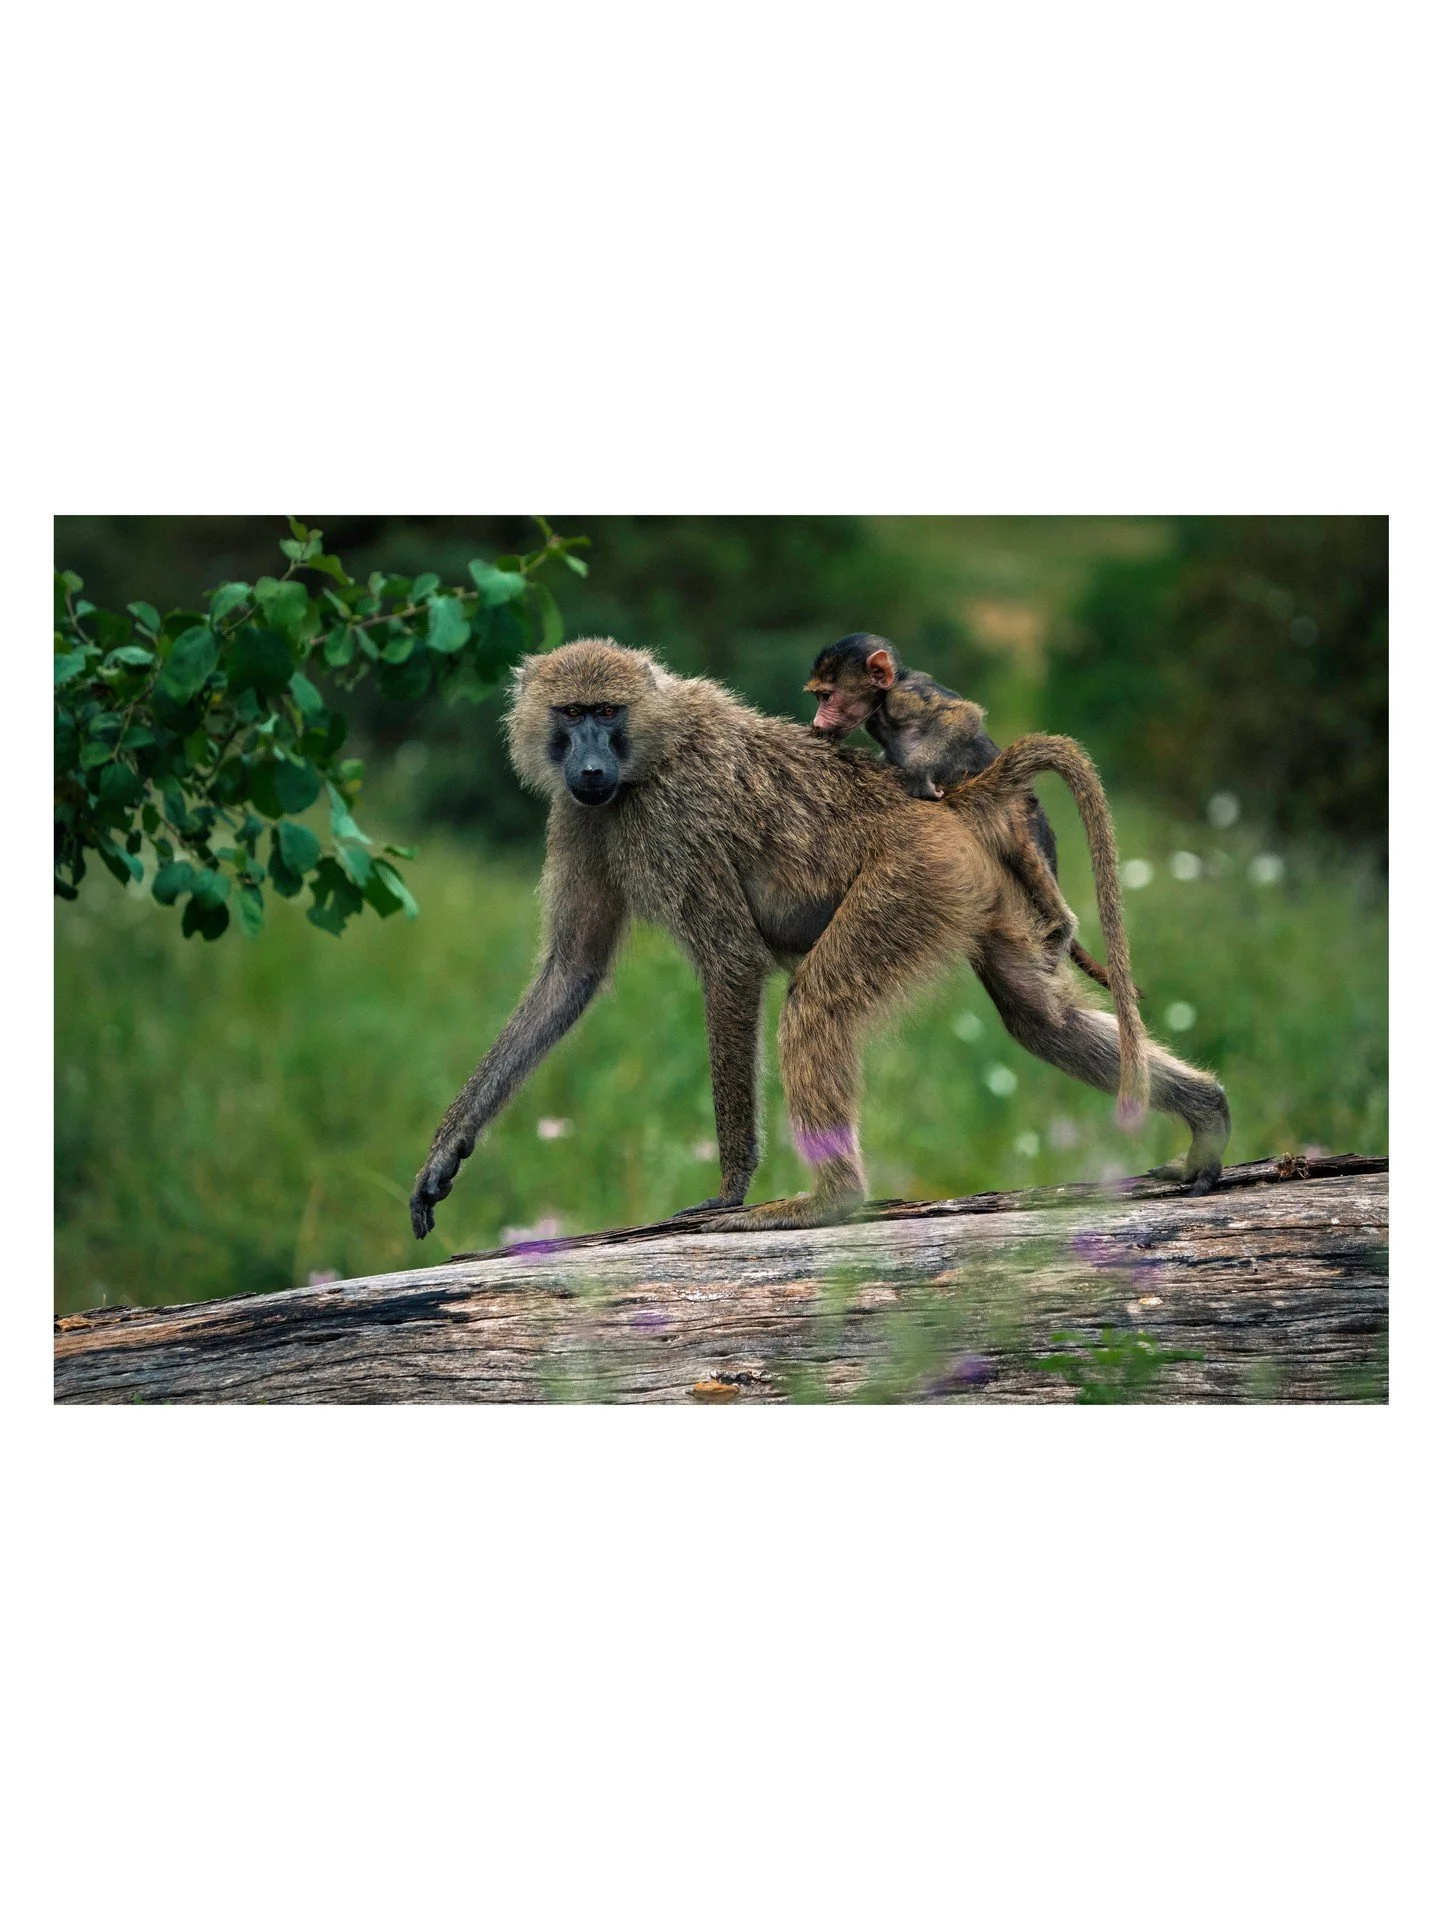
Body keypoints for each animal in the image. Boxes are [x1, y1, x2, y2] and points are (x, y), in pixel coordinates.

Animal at [806, 633, 1125, 995]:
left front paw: (918, 777)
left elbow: (962, 716)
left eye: (827, 696)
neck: (884, 699)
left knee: (1022, 844)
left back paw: (1062, 926)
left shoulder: (905, 697)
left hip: (1024, 815)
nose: (817, 722)